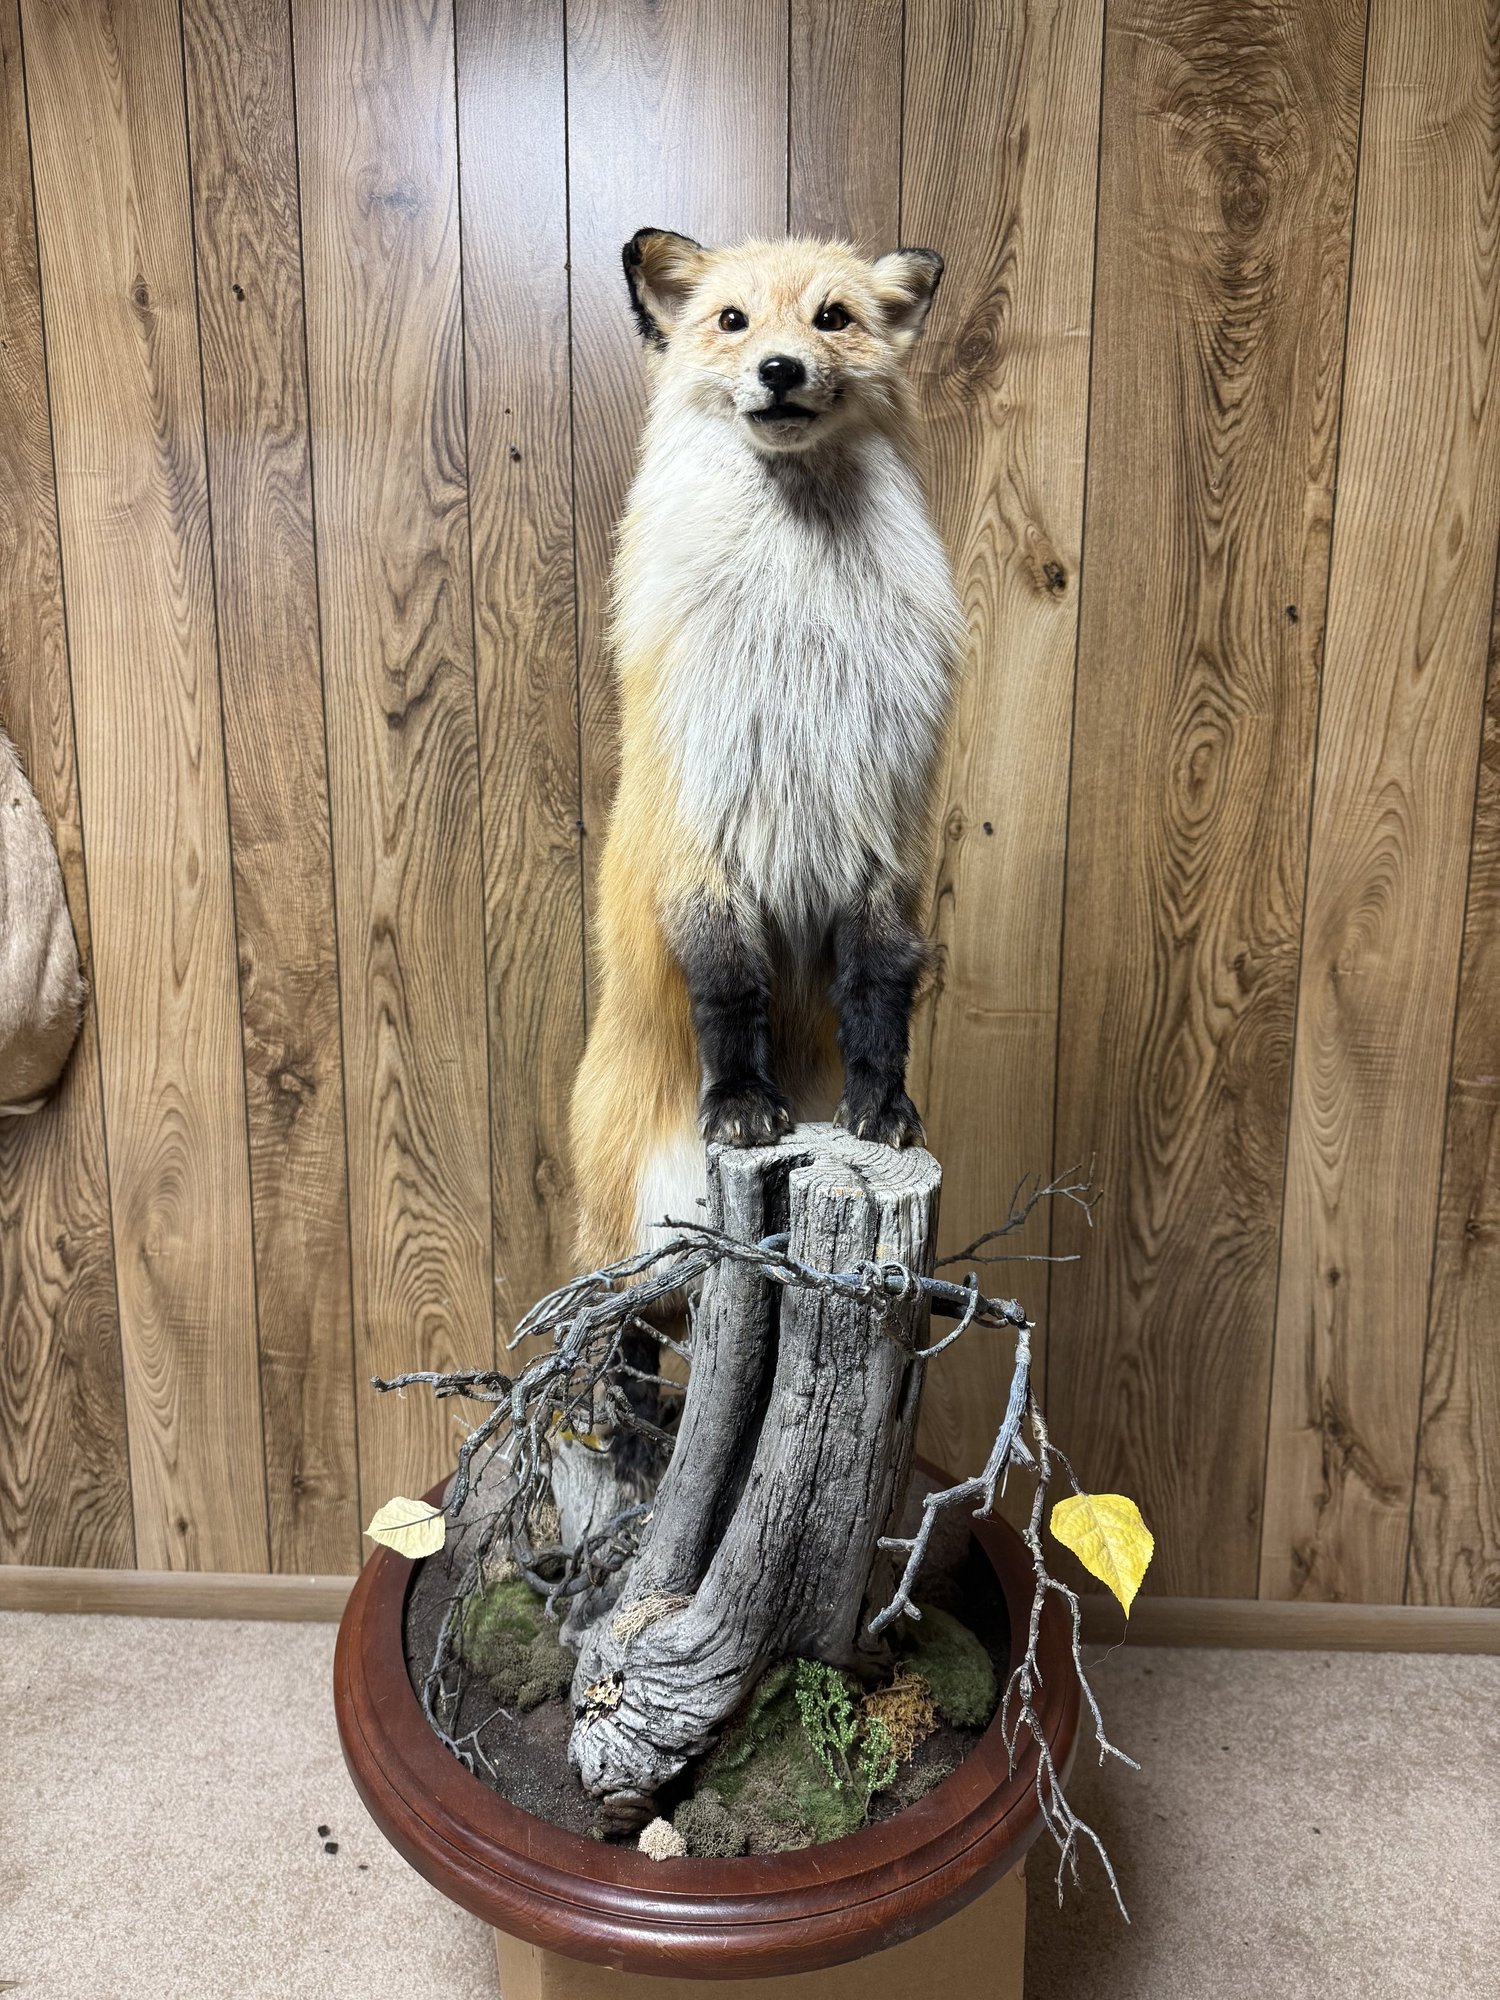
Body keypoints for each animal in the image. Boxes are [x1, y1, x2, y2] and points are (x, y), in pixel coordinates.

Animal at [569, 229, 964, 1272]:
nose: (779, 369)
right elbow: (729, 990)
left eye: (833, 318)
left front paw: (882, 1106)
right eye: (733, 320)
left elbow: (879, 987)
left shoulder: (883, 839)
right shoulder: (703, 838)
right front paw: (744, 1105)